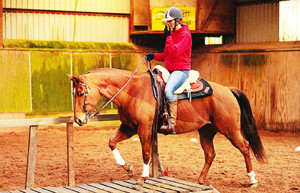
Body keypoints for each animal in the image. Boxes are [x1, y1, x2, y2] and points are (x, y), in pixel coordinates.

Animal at [67, 67, 268, 186]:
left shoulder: (144, 128)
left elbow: (146, 152)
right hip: (206, 131)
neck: (131, 90)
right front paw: (127, 166)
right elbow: (111, 142)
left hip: (230, 130)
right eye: (74, 93)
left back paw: (252, 179)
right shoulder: (129, 127)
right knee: (210, 154)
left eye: (81, 93)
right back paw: (201, 180)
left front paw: (142, 177)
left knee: (245, 147)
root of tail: (228, 90)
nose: (78, 120)